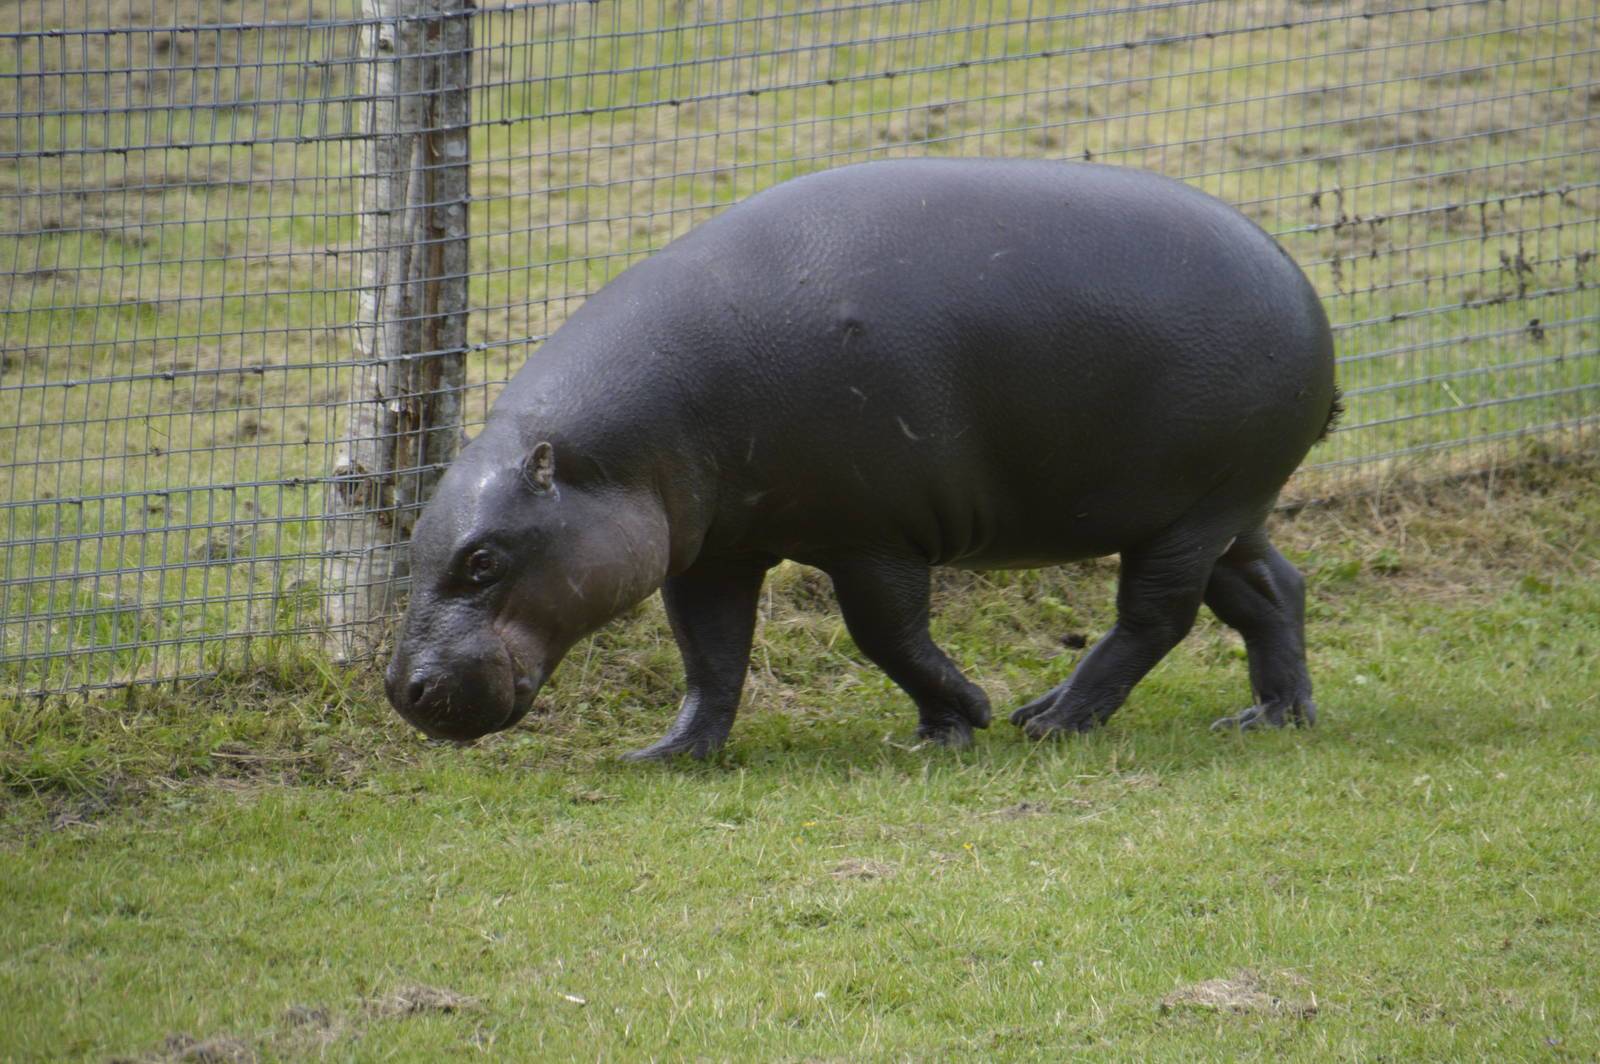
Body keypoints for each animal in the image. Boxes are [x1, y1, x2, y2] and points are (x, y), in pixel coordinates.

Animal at [385, 157, 1339, 760]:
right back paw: (1270, 718)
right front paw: (664, 754)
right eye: (417, 547)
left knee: (1156, 615)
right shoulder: (712, 549)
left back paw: (1050, 720)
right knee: (1269, 589)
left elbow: (884, 633)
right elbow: (710, 655)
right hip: (1216, 508)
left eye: (481, 560)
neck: (619, 452)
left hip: (1196, 510)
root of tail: (1299, 279)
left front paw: (956, 724)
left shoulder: (871, 533)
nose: (403, 691)